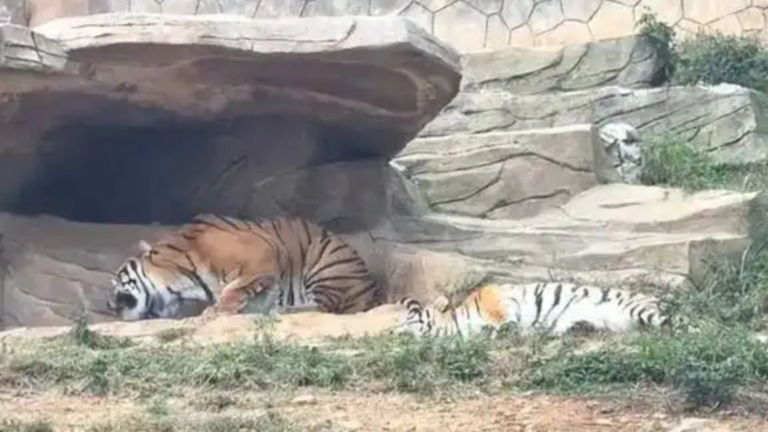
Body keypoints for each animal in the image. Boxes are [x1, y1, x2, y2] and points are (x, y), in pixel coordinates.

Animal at [106, 214, 383, 321]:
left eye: (117, 280)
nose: (107, 305)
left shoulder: (262, 254)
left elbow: (235, 287)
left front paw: (217, 310)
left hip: (324, 260)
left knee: (326, 307)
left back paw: (281, 310)